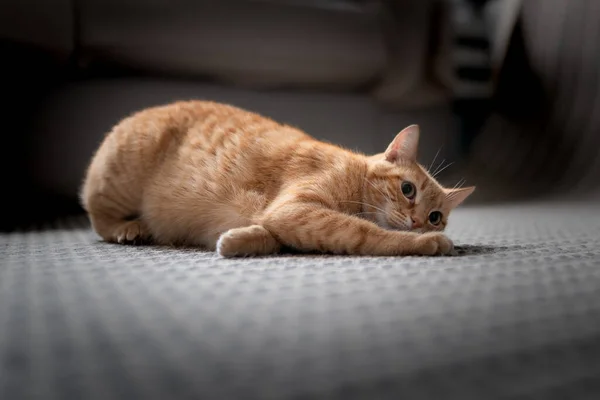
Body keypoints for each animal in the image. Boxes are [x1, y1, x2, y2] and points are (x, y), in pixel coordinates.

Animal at [81, 100, 474, 256]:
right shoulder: (297, 210)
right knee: (95, 213)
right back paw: (128, 228)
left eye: (436, 216)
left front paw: (238, 241)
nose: (418, 222)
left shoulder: (284, 217)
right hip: (120, 177)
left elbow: (269, 235)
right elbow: (368, 234)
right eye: (408, 189)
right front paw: (426, 243)